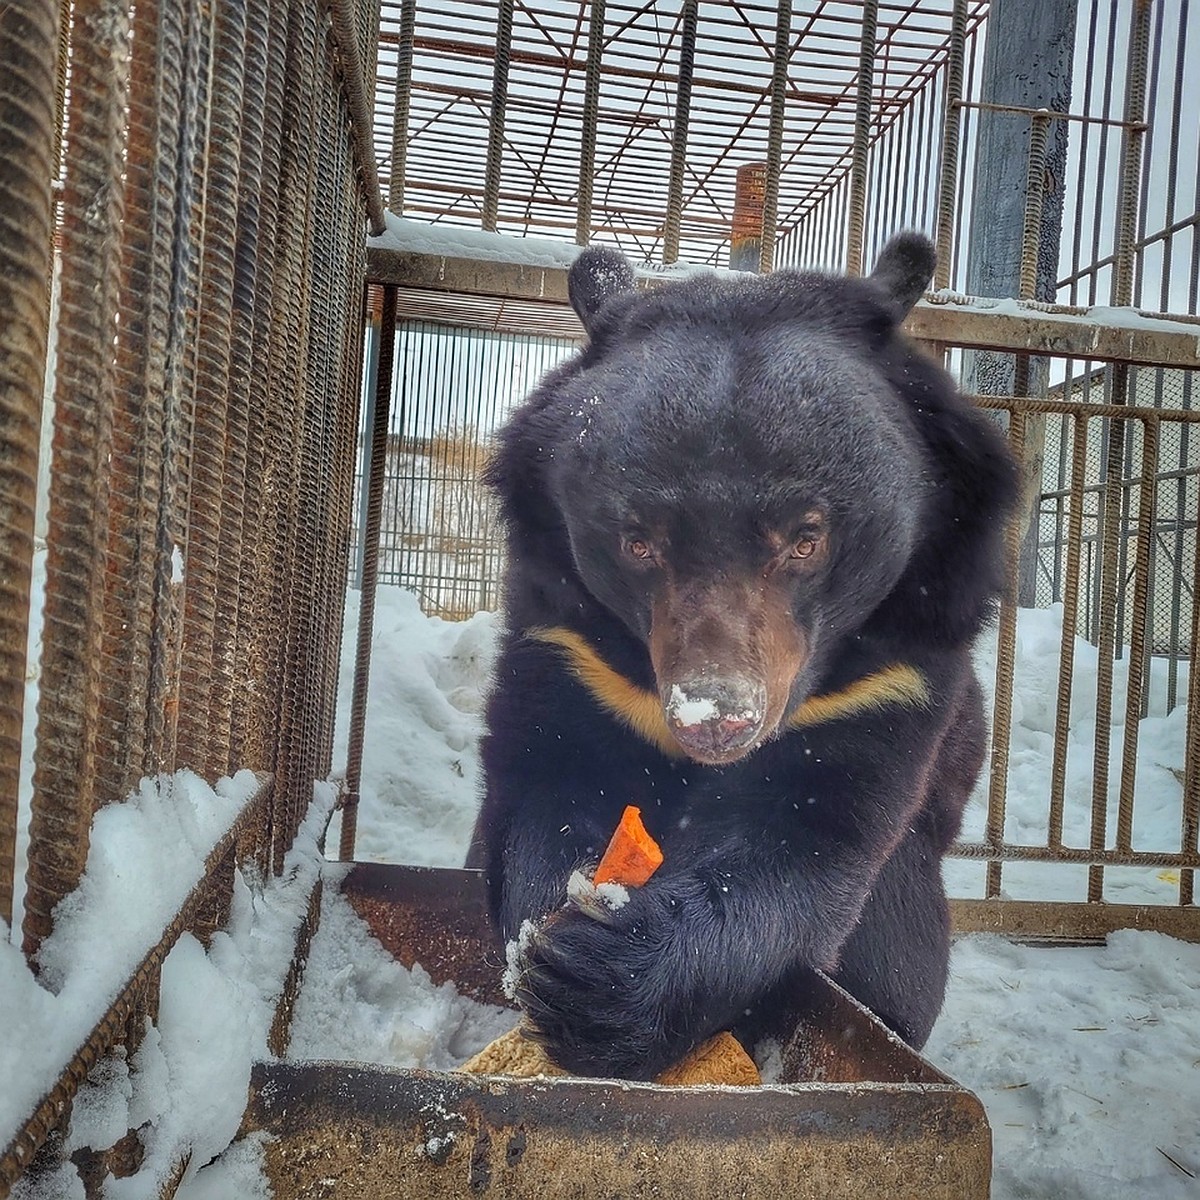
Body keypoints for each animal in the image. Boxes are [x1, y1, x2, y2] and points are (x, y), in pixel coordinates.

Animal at [468, 231, 1022, 1080]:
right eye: (638, 542)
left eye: (806, 537)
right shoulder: (570, 649)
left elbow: (803, 840)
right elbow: (545, 782)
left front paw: (600, 980)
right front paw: (546, 942)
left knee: (898, 950)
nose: (717, 721)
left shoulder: (892, 679)